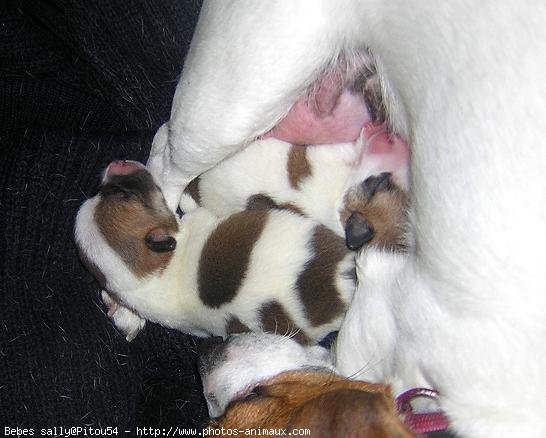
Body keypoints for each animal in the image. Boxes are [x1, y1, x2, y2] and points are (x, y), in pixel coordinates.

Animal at [75, 161, 356, 342]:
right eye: (125, 195)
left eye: (114, 193)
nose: (116, 163)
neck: (152, 276)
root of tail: (340, 278)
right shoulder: (200, 218)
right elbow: (192, 206)